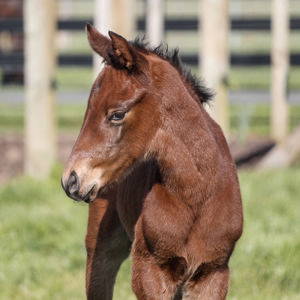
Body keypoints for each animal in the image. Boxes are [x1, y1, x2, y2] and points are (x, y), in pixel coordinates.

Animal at [62, 24, 243, 298]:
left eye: (117, 114)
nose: (71, 180)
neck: (197, 194)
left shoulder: (213, 272)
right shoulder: (150, 269)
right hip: (101, 247)